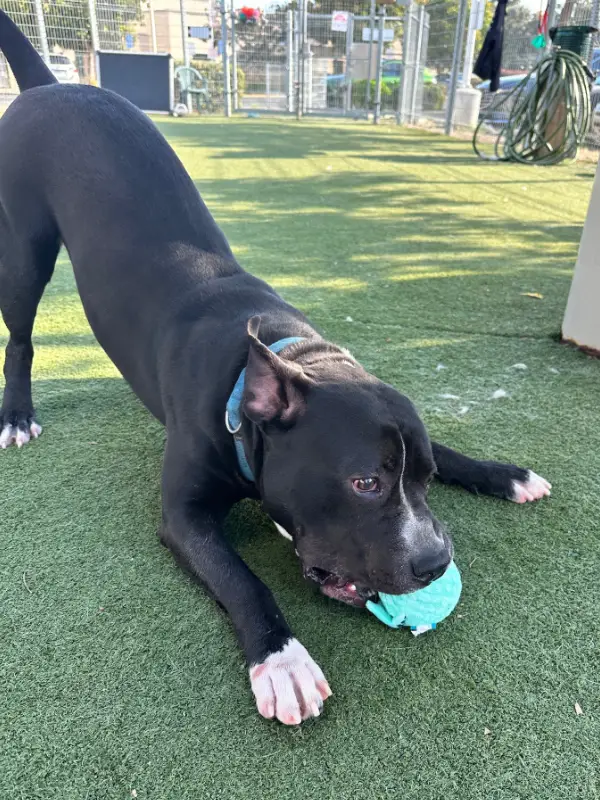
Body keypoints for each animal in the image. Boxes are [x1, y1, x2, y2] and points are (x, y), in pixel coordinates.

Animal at [0, 14, 548, 724]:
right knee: (19, 338)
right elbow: (242, 577)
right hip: (23, 246)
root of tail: (52, 85)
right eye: (365, 483)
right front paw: (282, 660)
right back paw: (18, 414)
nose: (434, 561)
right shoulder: (184, 517)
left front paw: (504, 474)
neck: (273, 364)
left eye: (425, 478)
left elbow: (454, 449)